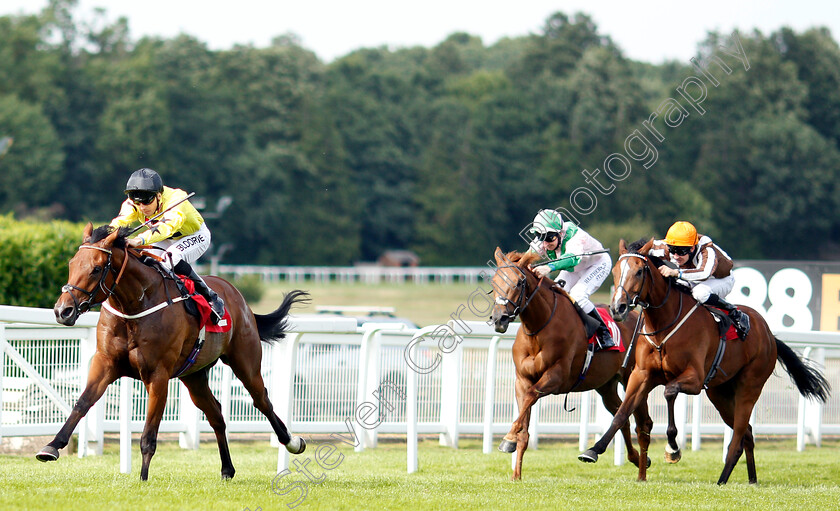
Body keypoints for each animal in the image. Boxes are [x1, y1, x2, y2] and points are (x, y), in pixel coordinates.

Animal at [38, 224, 308, 480]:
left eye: (96, 269)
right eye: (71, 264)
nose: (62, 311)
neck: (135, 305)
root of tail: (236, 294)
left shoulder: (158, 375)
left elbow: (149, 434)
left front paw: (143, 479)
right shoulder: (105, 363)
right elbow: (82, 403)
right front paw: (51, 447)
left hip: (246, 362)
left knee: (261, 400)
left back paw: (293, 442)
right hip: (194, 376)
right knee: (216, 414)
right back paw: (227, 469)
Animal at [488, 250, 652, 482]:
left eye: (519, 282)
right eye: (494, 281)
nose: (499, 319)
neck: (538, 328)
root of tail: (639, 319)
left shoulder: (557, 377)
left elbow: (531, 396)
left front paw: (507, 439)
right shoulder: (522, 380)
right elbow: (524, 425)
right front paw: (516, 474)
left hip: (634, 378)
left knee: (642, 422)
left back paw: (641, 473)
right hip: (606, 385)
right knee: (622, 416)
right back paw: (635, 458)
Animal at [580, 239, 832, 484]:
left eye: (640, 271)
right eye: (615, 271)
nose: (617, 307)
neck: (664, 324)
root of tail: (769, 334)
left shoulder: (694, 378)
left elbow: (669, 392)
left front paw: (673, 449)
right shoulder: (641, 375)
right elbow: (622, 413)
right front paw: (593, 450)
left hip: (749, 386)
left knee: (738, 435)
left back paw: (722, 479)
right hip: (719, 393)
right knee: (748, 434)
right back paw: (751, 480)